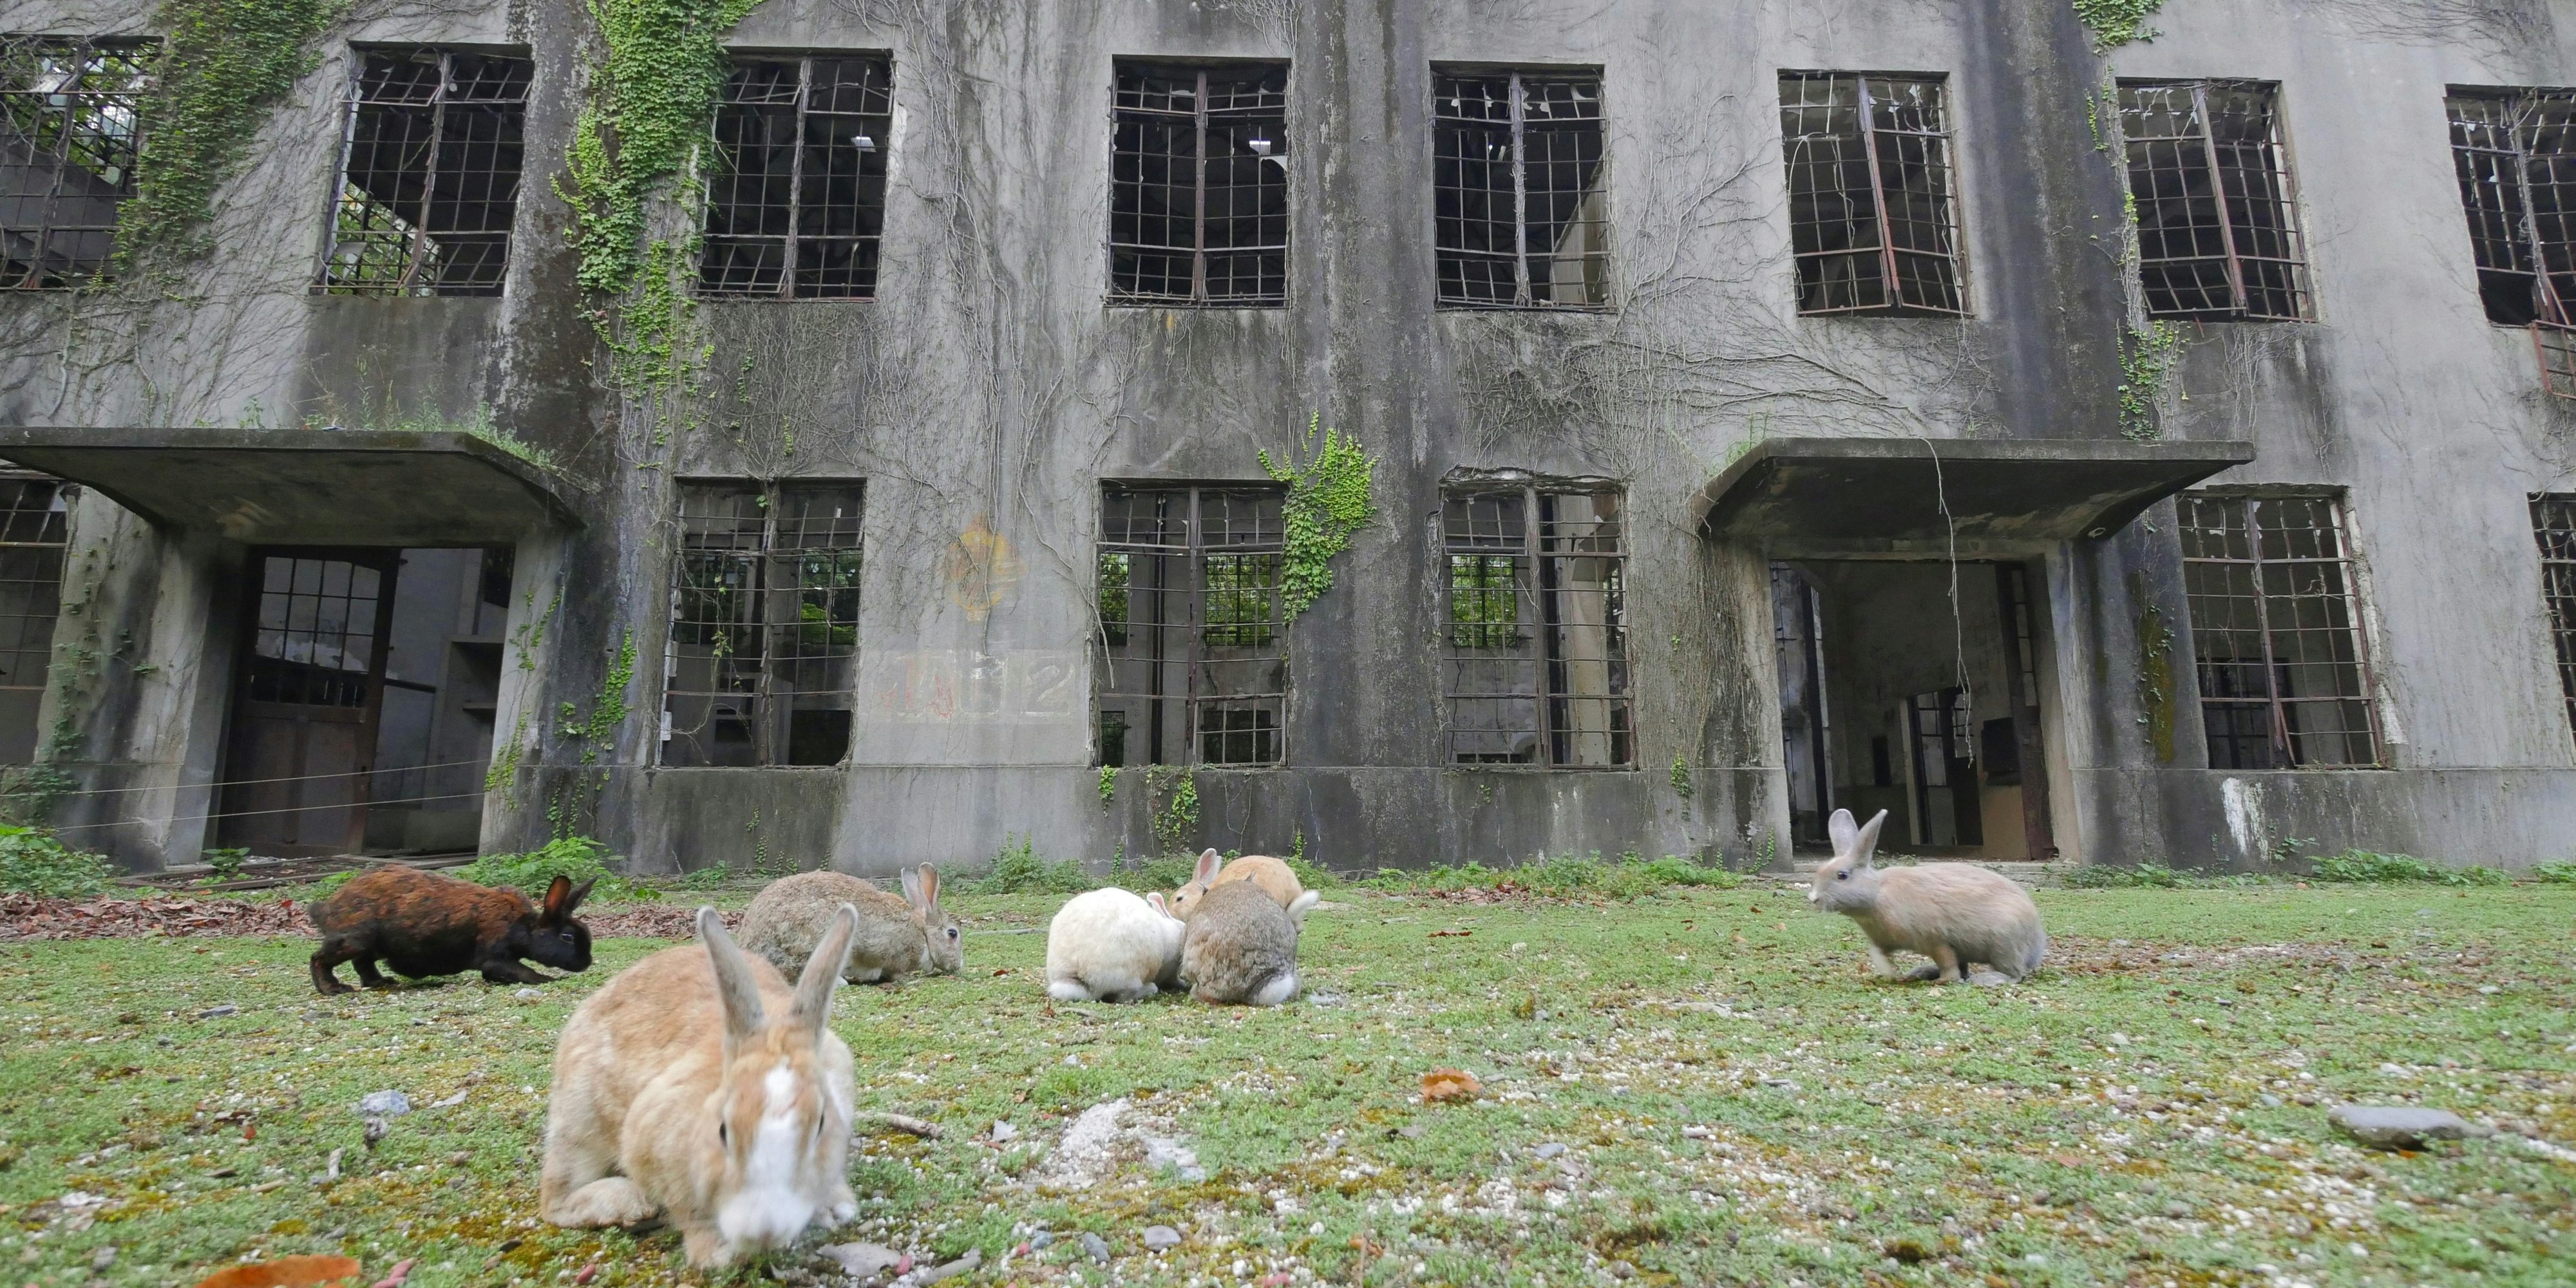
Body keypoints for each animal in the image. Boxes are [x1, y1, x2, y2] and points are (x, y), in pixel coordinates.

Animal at [307, 865, 594, 995]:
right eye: (567, 937)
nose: (587, 964)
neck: (523, 927)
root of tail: (326, 908)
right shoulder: (496, 958)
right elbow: (525, 972)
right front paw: (549, 979)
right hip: (356, 939)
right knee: (319, 959)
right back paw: (333, 989)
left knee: (363, 964)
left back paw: (381, 982)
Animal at [540, 904, 862, 1268]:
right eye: (723, 1130)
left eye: (821, 1125)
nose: (763, 1233)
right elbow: (688, 1211)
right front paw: (718, 1254)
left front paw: (836, 1208)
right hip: (579, 1125)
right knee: (556, 1200)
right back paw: (631, 1204)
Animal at [1044, 887, 1186, 1002]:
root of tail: (1077, 975)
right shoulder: (1170, 970)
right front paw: (1182, 983)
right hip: (1128, 979)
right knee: (1122, 996)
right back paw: (1150, 988)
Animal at [1806, 807, 2048, 985]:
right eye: (1819, 870)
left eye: (1842, 876)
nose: (1813, 899)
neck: (1876, 894)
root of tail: (2036, 946)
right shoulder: (1881, 943)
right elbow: (1880, 955)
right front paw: (1892, 973)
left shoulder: (1937, 941)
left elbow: (1948, 965)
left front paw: (1943, 981)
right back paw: (1922, 972)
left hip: (2004, 944)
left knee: (2014, 973)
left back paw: (1986, 979)